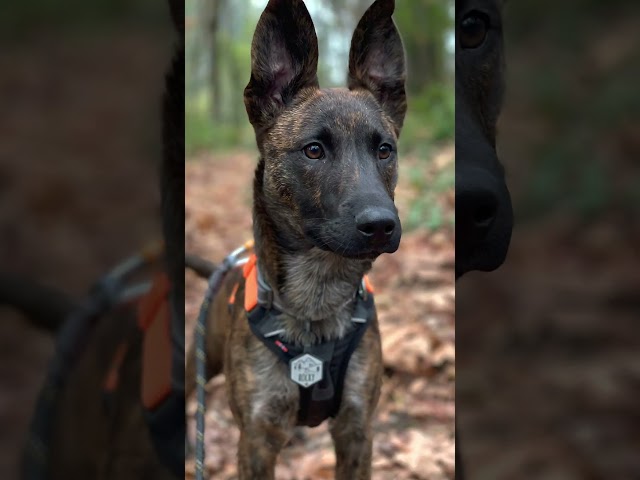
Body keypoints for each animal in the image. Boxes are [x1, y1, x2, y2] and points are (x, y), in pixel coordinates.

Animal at [182, 1, 408, 478]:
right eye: (313, 150)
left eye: (384, 150)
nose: (382, 224)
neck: (316, 304)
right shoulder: (256, 440)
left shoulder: (357, 430)